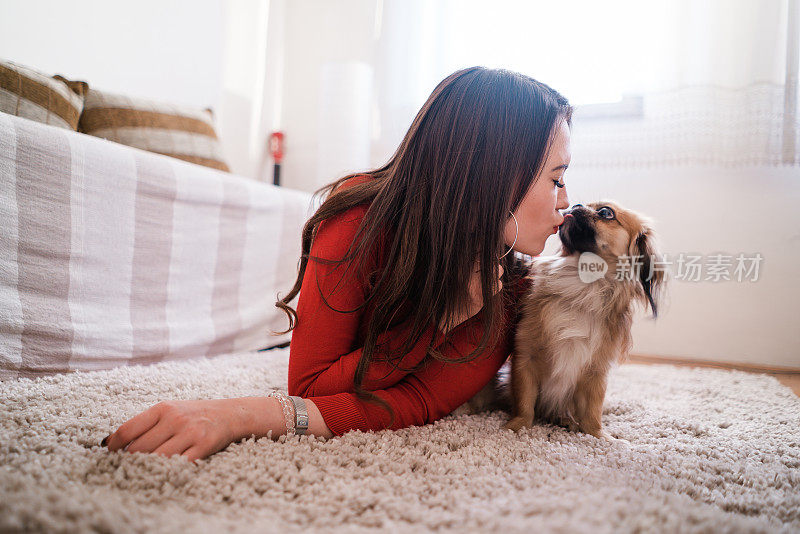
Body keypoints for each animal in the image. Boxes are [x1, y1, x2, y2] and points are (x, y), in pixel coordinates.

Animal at [456, 201, 668, 444]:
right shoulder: (526, 358)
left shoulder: (596, 371)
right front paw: (516, 427)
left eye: (606, 213)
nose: (575, 204)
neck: (583, 286)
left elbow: (593, 411)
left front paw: (599, 436)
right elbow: (525, 402)